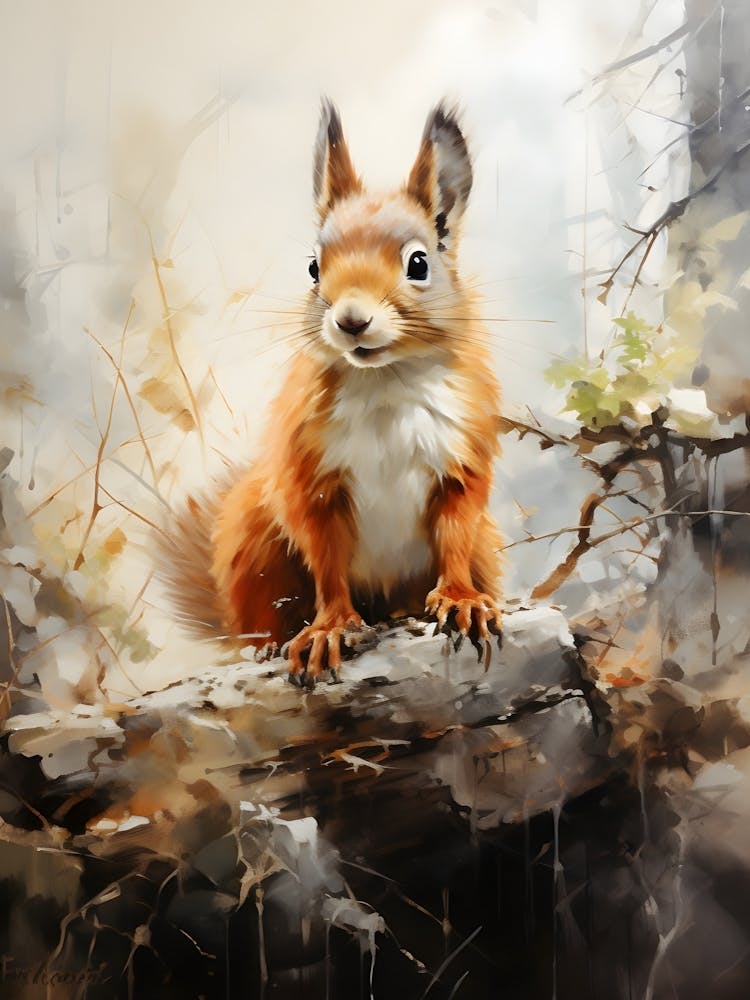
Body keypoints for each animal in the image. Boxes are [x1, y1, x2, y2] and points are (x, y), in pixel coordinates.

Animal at [162, 100, 503, 684]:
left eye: (419, 264)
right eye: (313, 268)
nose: (351, 320)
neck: (384, 381)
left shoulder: (460, 460)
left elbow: (455, 533)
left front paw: (461, 600)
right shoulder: (312, 478)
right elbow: (325, 559)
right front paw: (330, 628)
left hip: (486, 546)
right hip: (253, 539)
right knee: (263, 616)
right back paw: (268, 646)